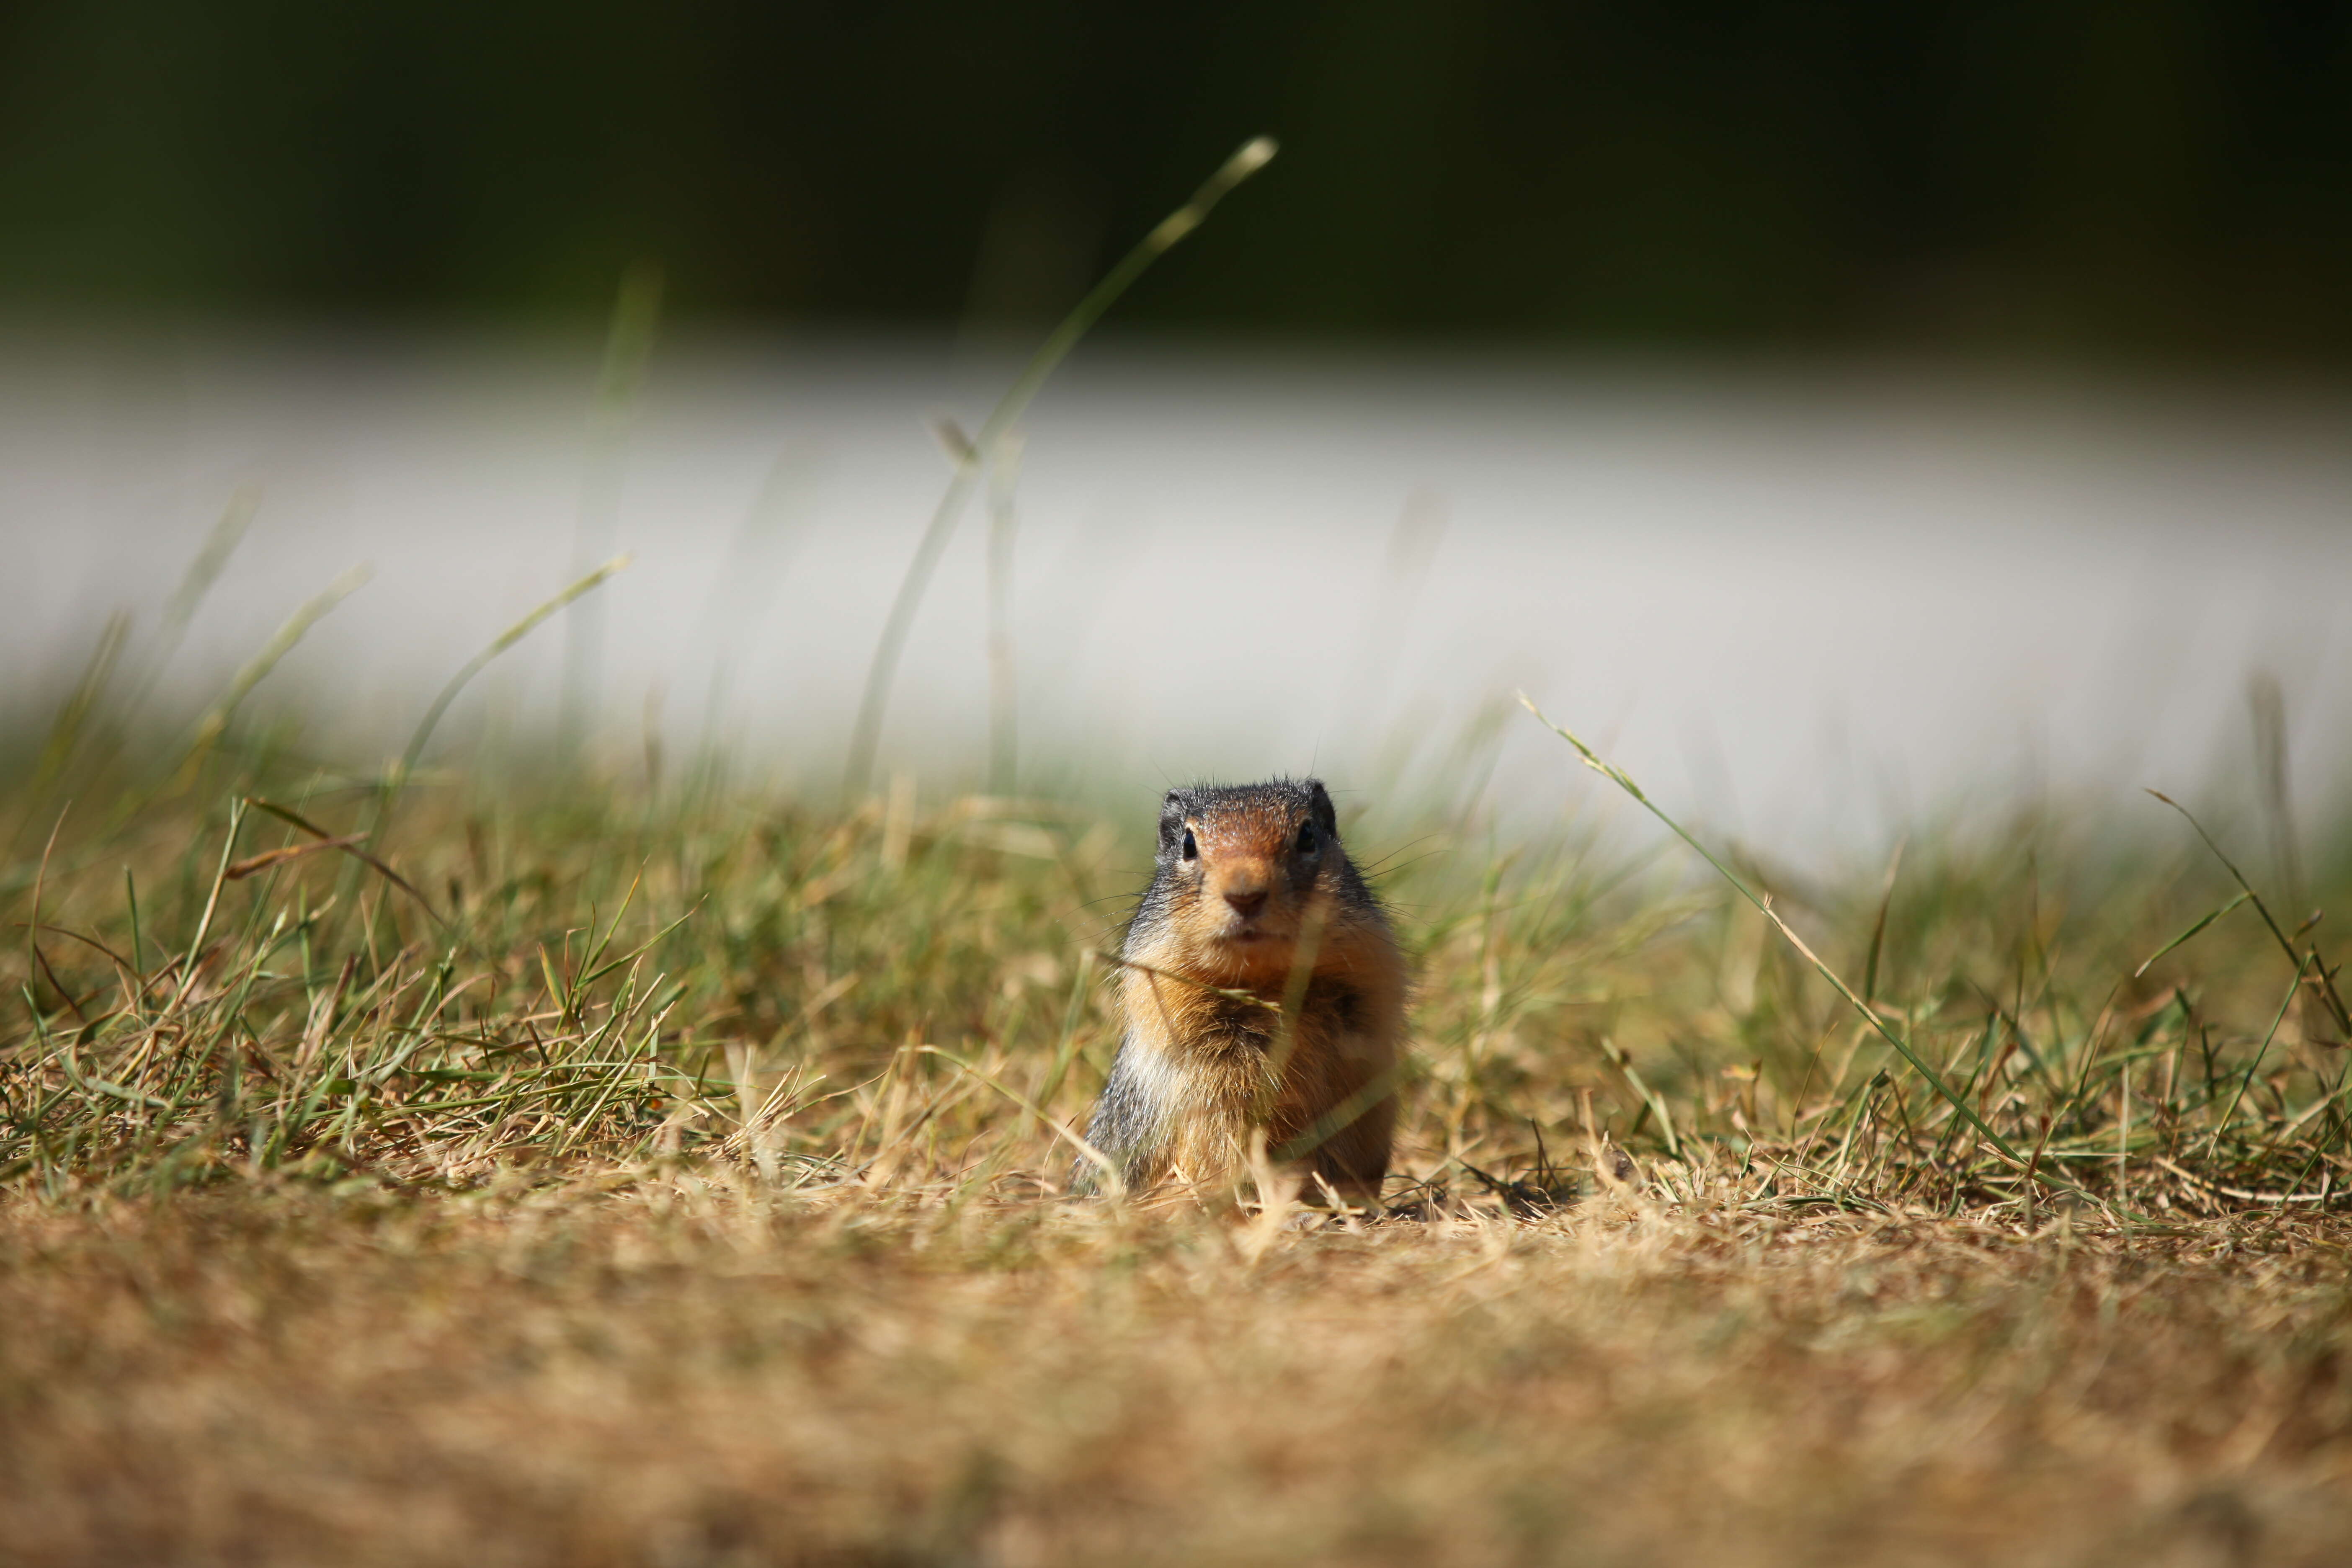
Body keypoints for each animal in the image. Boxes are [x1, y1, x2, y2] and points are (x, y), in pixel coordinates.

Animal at [1077, 780, 1402, 1213]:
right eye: (1188, 844)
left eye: (1307, 835)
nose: (1245, 895)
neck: (1268, 985)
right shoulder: (1209, 1082)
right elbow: (1228, 1147)